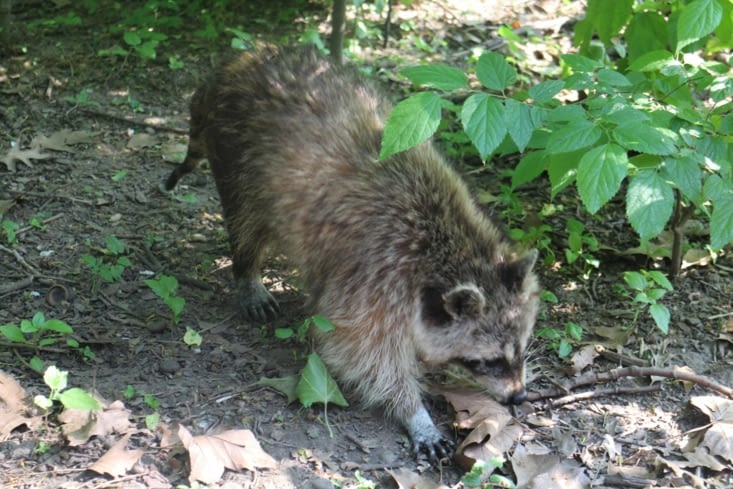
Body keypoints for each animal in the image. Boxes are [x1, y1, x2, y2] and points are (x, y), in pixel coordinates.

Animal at [167, 45, 544, 458]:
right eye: (488, 361)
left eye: (520, 349)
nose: (519, 396)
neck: (451, 248)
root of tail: (240, 62)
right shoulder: (377, 272)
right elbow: (362, 349)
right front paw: (413, 411)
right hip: (237, 154)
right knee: (247, 221)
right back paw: (247, 271)